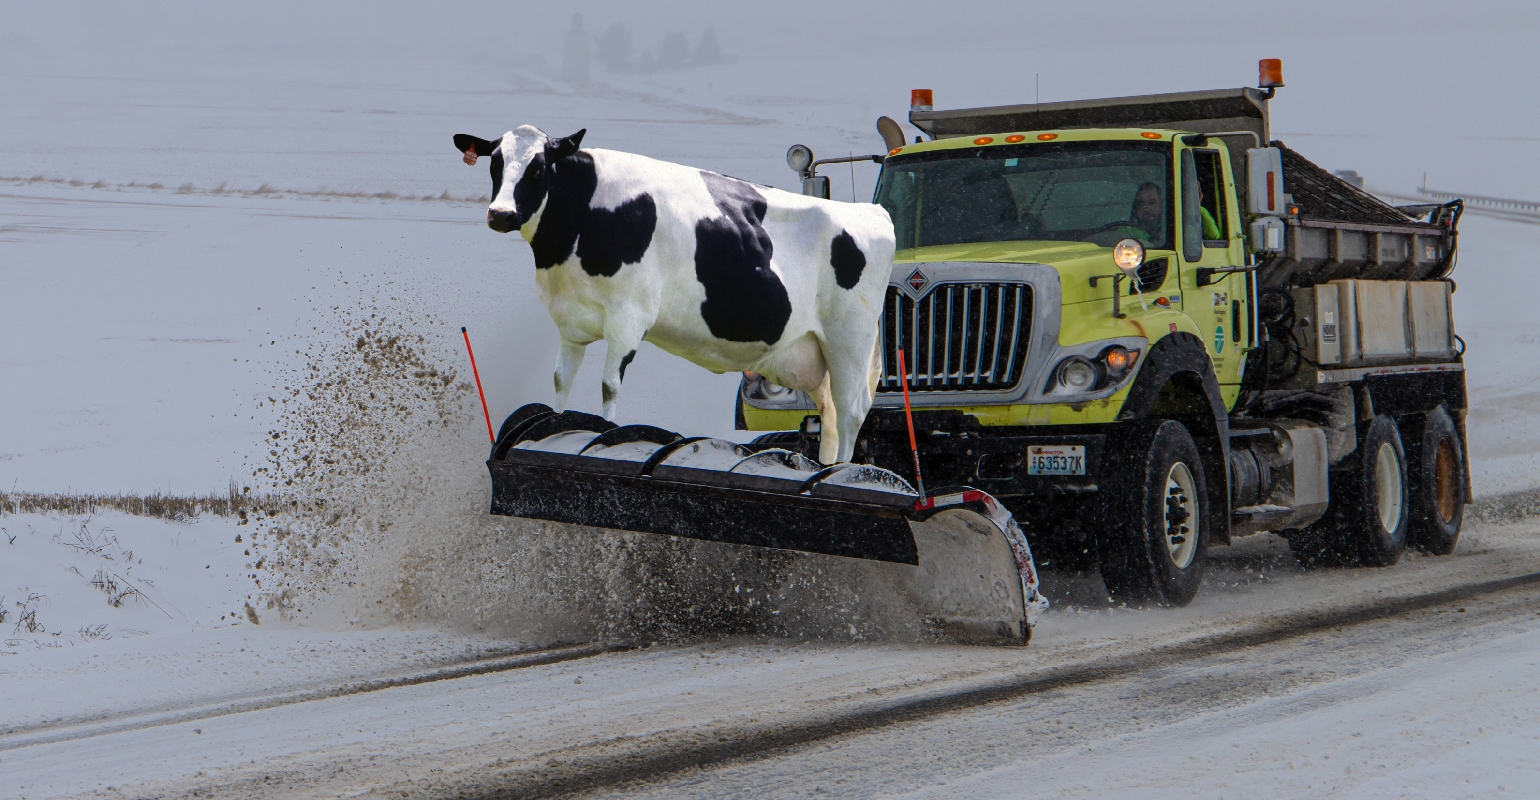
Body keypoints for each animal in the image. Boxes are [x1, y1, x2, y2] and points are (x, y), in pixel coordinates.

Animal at [449, 124, 899, 462]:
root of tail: (870, 211)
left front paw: (606, 435)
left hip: (850, 338)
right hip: (812, 352)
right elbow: (560, 386)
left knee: (851, 411)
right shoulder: (570, 323)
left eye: (539, 168)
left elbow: (609, 387)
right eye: (494, 163)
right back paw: (823, 467)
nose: (501, 214)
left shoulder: (629, 317)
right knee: (829, 414)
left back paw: (841, 473)